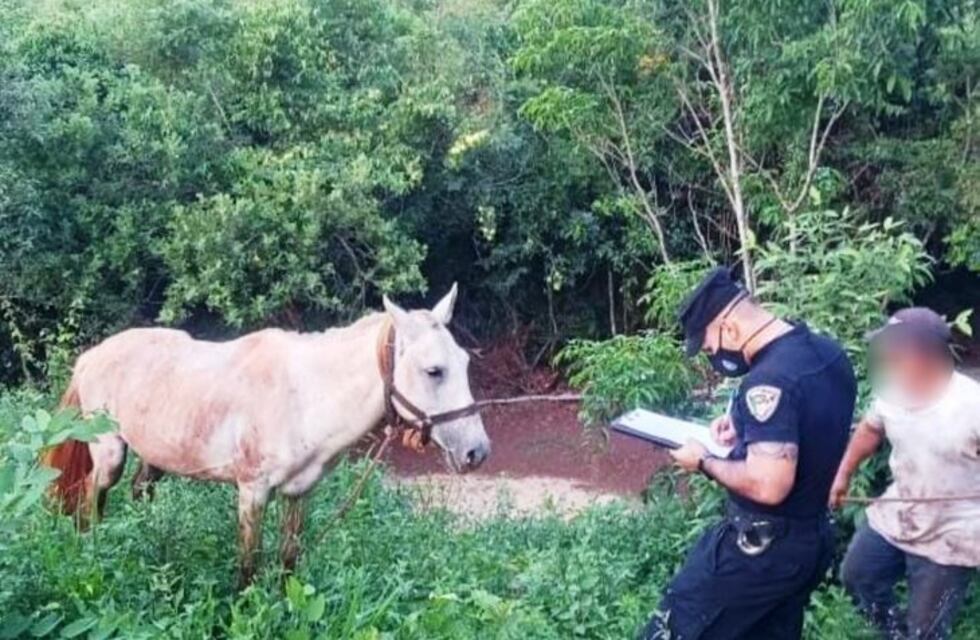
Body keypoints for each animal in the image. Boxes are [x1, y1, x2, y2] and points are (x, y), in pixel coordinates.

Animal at [42, 285, 490, 586]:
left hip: (156, 457)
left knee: (140, 493)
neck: (303, 394)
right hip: (109, 455)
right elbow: (248, 565)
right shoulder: (252, 491)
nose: (477, 452)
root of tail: (91, 356)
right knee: (91, 498)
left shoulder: (299, 492)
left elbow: (288, 558)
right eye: (434, 370)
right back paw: (94, 554)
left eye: (465, 362)